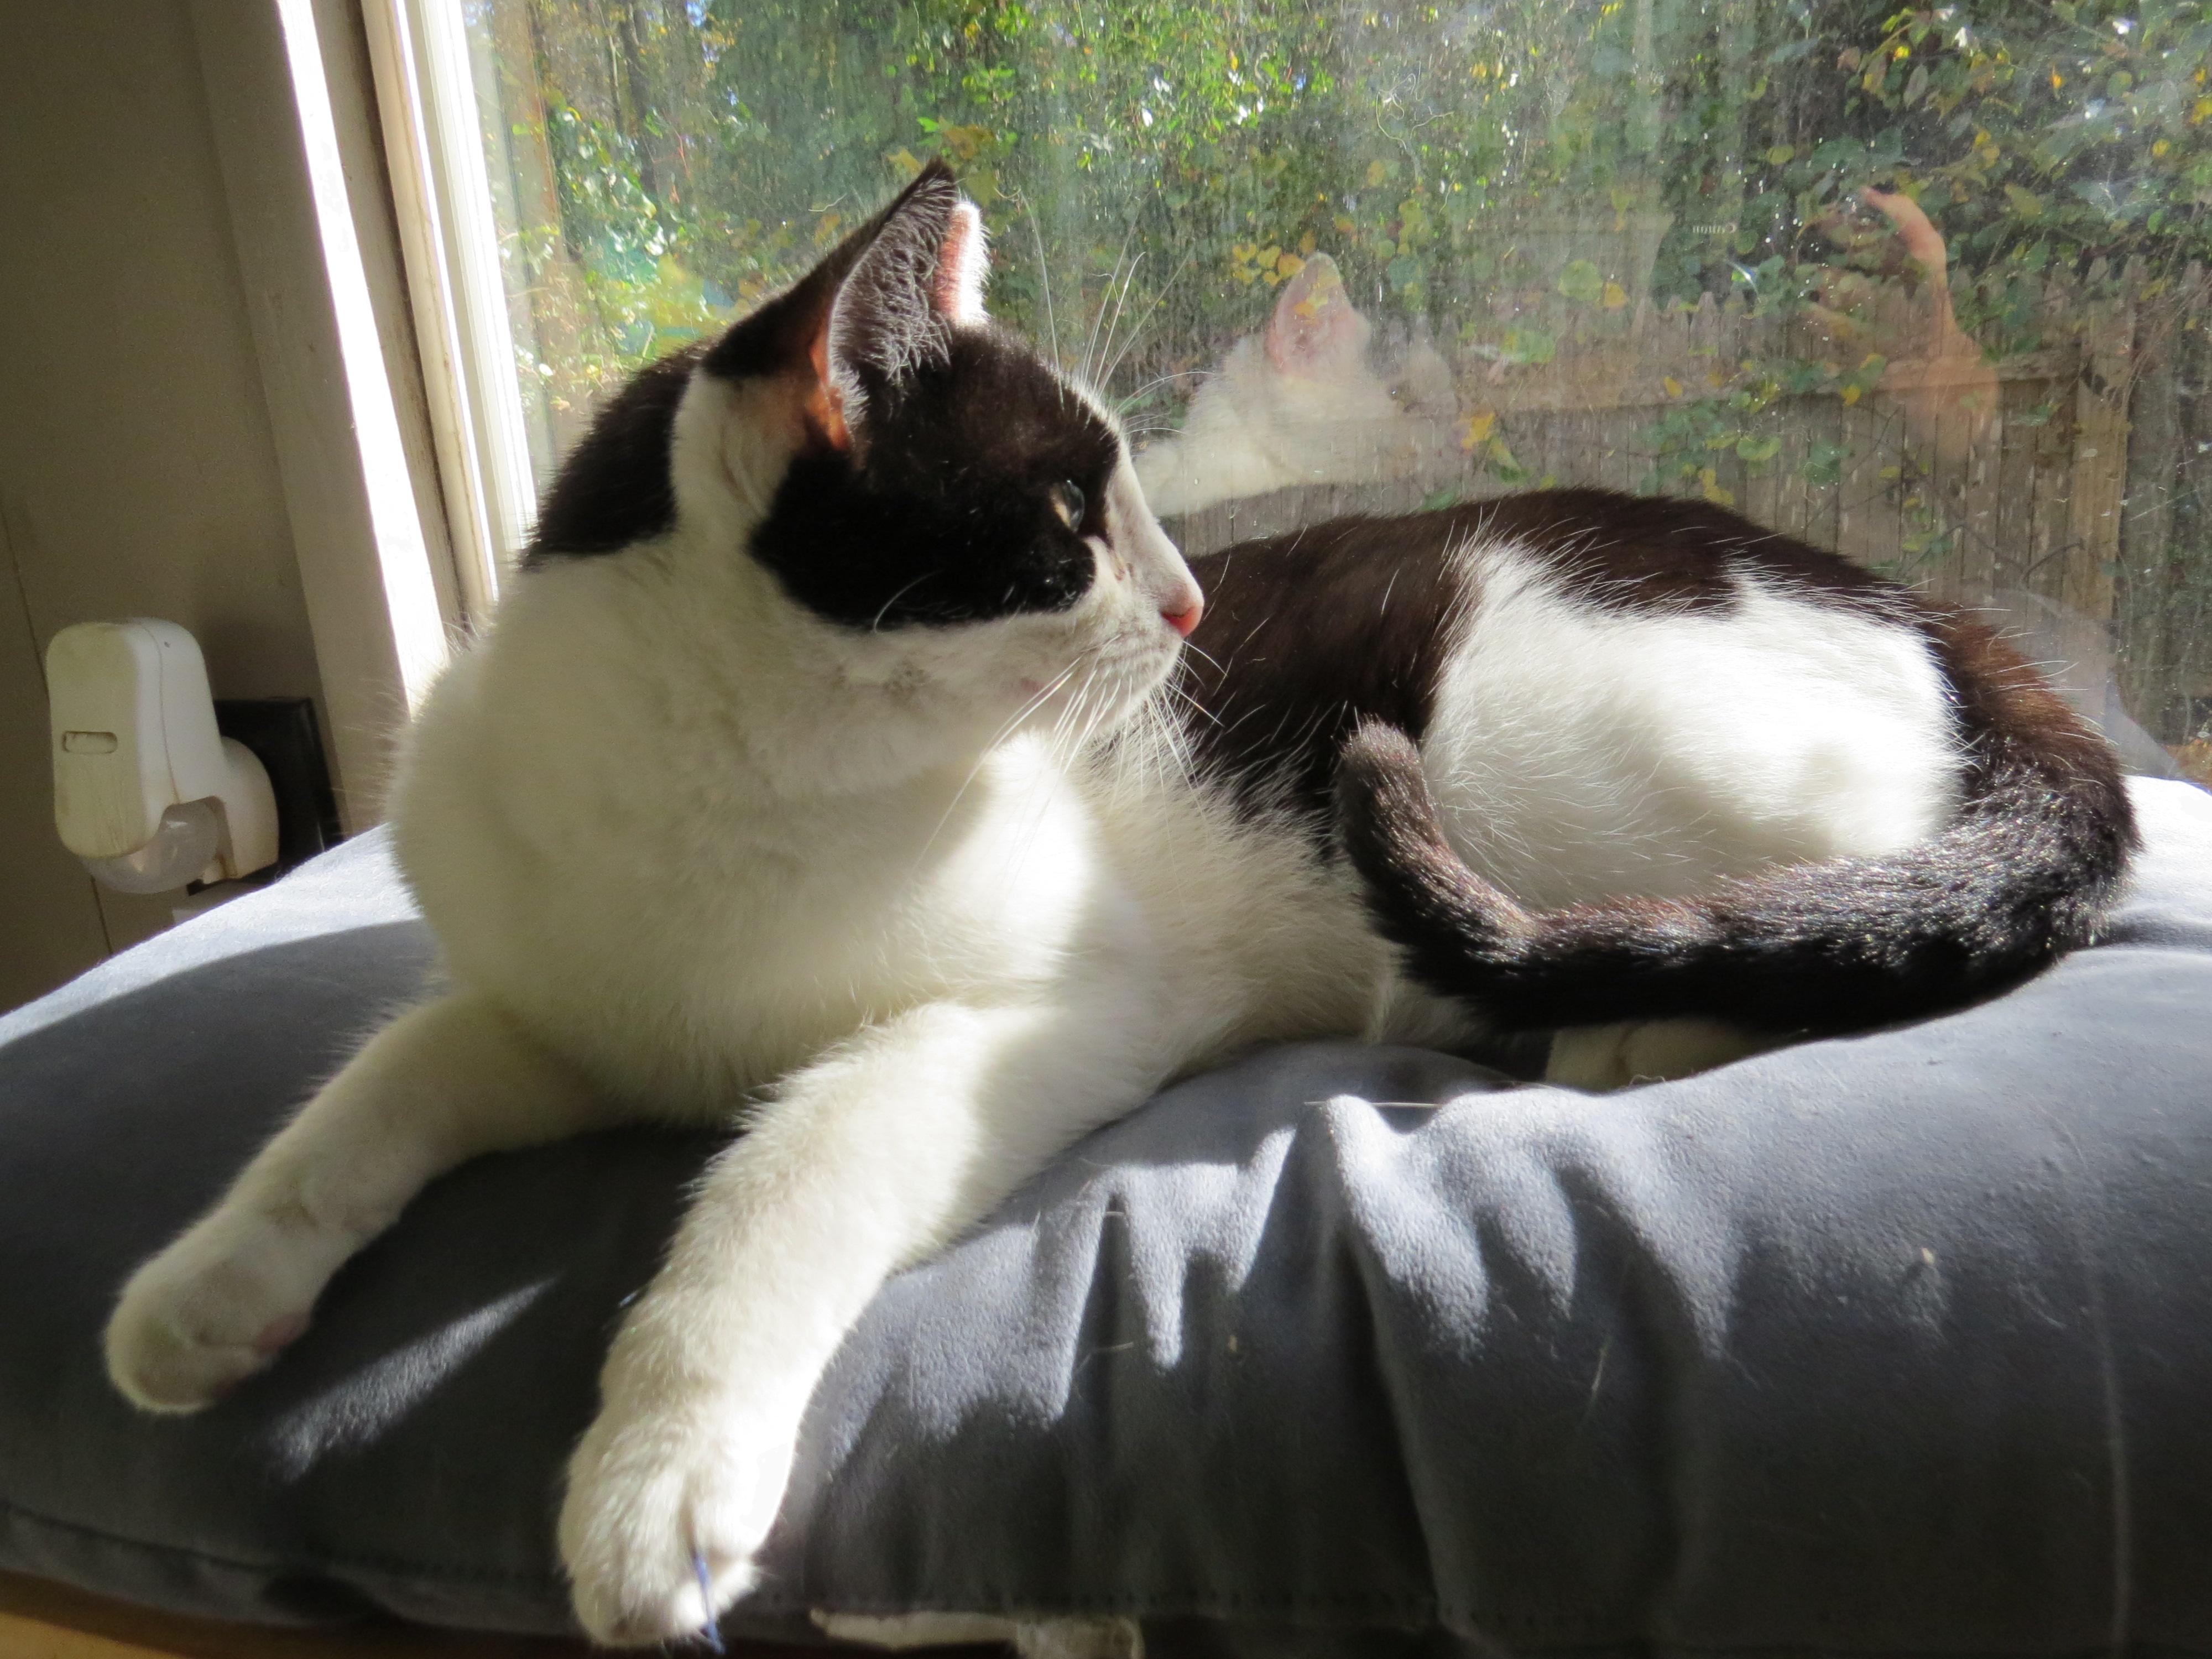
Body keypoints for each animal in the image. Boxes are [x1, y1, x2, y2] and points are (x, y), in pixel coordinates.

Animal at [100, 169, 2124, 1655]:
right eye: (1073, 517)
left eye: (1138, 503)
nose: (1191, 613)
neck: (723, 788)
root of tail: (1929, 606)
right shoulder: (561, 1020)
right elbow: (365, 1103)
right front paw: (209, 1289)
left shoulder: (1035, 1018)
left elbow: (775, 1189)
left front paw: (658, 1476)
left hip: (1547, 741)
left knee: (1859, 881)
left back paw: (1629, 1018)